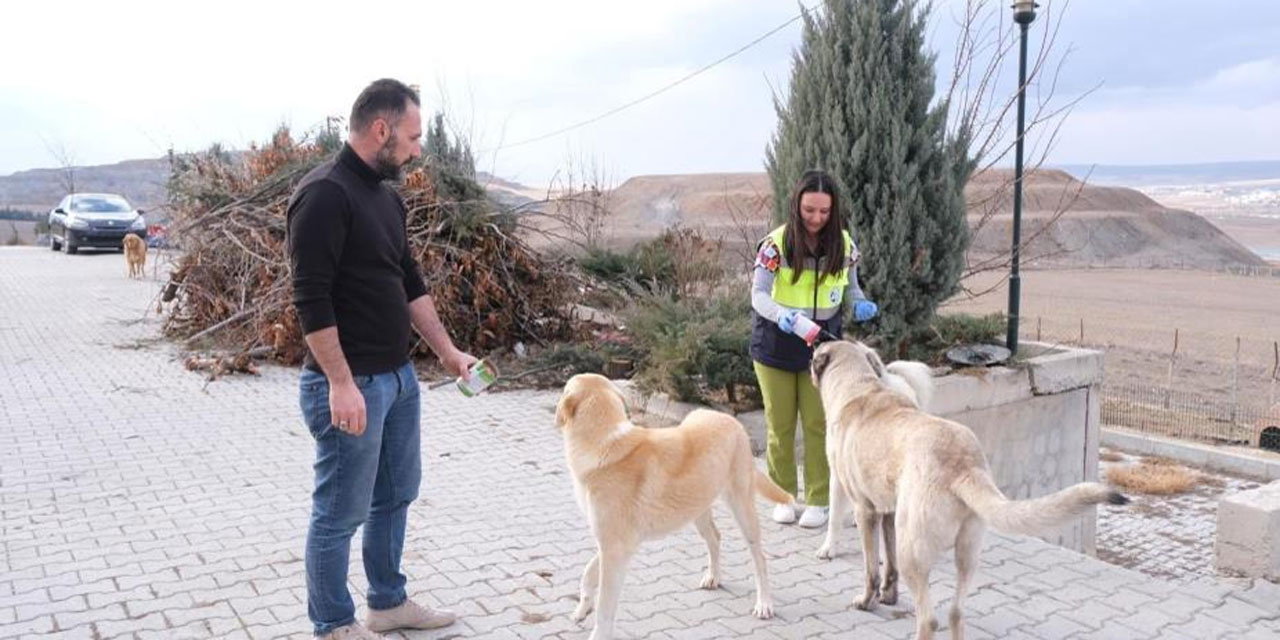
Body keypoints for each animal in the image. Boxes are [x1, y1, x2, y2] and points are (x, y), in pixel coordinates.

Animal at [558, 373, 793, 640]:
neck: (604, 442)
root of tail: (731, 421)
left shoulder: (615, 549)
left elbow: (605, 607)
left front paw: (597, 629)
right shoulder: (615, 546)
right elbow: (588, 572)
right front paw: (582, 608)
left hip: (742, 510)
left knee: (759, 559)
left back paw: (764, 604)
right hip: (697, 509)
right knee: (715, 537)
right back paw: (713, 577)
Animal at [814, 345, 1126, 640]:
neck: (858, 386)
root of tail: (964, 466)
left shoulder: (864, 510)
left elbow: (871, 569)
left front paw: (867, 600)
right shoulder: (889, 512)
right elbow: (888, 567)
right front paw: (888, 597)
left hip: (912, 551)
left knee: (929, 619)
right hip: (966, 551)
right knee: (956, 612)